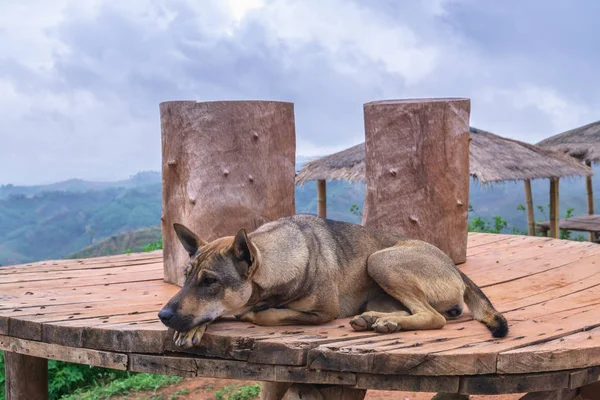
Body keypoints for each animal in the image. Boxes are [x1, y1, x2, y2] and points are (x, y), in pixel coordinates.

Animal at [158, 214, 506, 348]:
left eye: (210, 281)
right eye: (186, 278)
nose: (163, 315)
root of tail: (454, 267)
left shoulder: (323, 312)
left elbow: (265, 314)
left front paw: (249, 314)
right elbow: (213, 312)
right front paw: (194, 328)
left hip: (380, 260)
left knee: (434, 318)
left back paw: (385, 322)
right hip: (379, 287)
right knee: (414, 312)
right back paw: (378, 320)